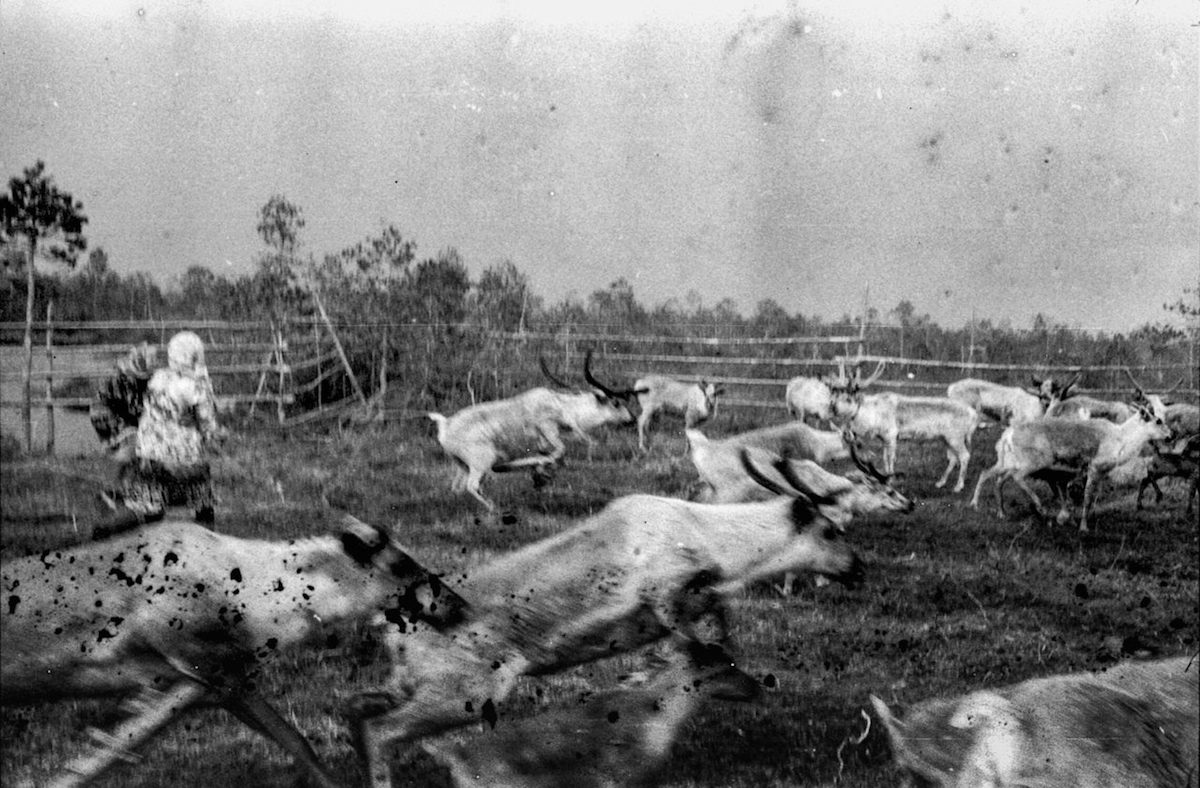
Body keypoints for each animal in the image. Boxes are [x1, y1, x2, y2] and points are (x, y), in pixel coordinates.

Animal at [1, 515, 463, 786]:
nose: (461, 607)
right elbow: (113, 747)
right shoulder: (198, 669)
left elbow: (298, 741)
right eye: (401, 566)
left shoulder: (230, 683)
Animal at [350, 450, 868, 782]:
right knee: (380, 731)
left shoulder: (697, 606)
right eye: (830, 530)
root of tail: (393, 631)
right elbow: (696, 650)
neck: (714, 546)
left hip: (420, 685)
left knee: (360, 708)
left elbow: (707, 645)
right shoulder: (665, 594)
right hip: (468, 692)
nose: (859, 568)